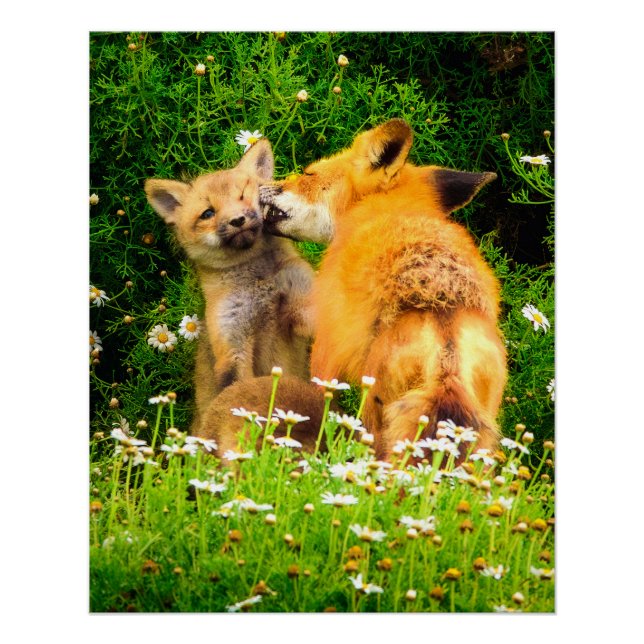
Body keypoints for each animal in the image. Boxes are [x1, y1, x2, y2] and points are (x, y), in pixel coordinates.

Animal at [144, 139, 315, 434]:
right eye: (208, 213)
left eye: (244, 196)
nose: (237, 220)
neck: (260, 286)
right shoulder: (232, 345)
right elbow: (238, 394)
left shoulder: (303, 304)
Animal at [260, 118, 507, 461]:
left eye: (308, 174)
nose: (257, 186)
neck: (385, 209)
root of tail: (448, 353)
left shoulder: (326, 350)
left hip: (375, 412)